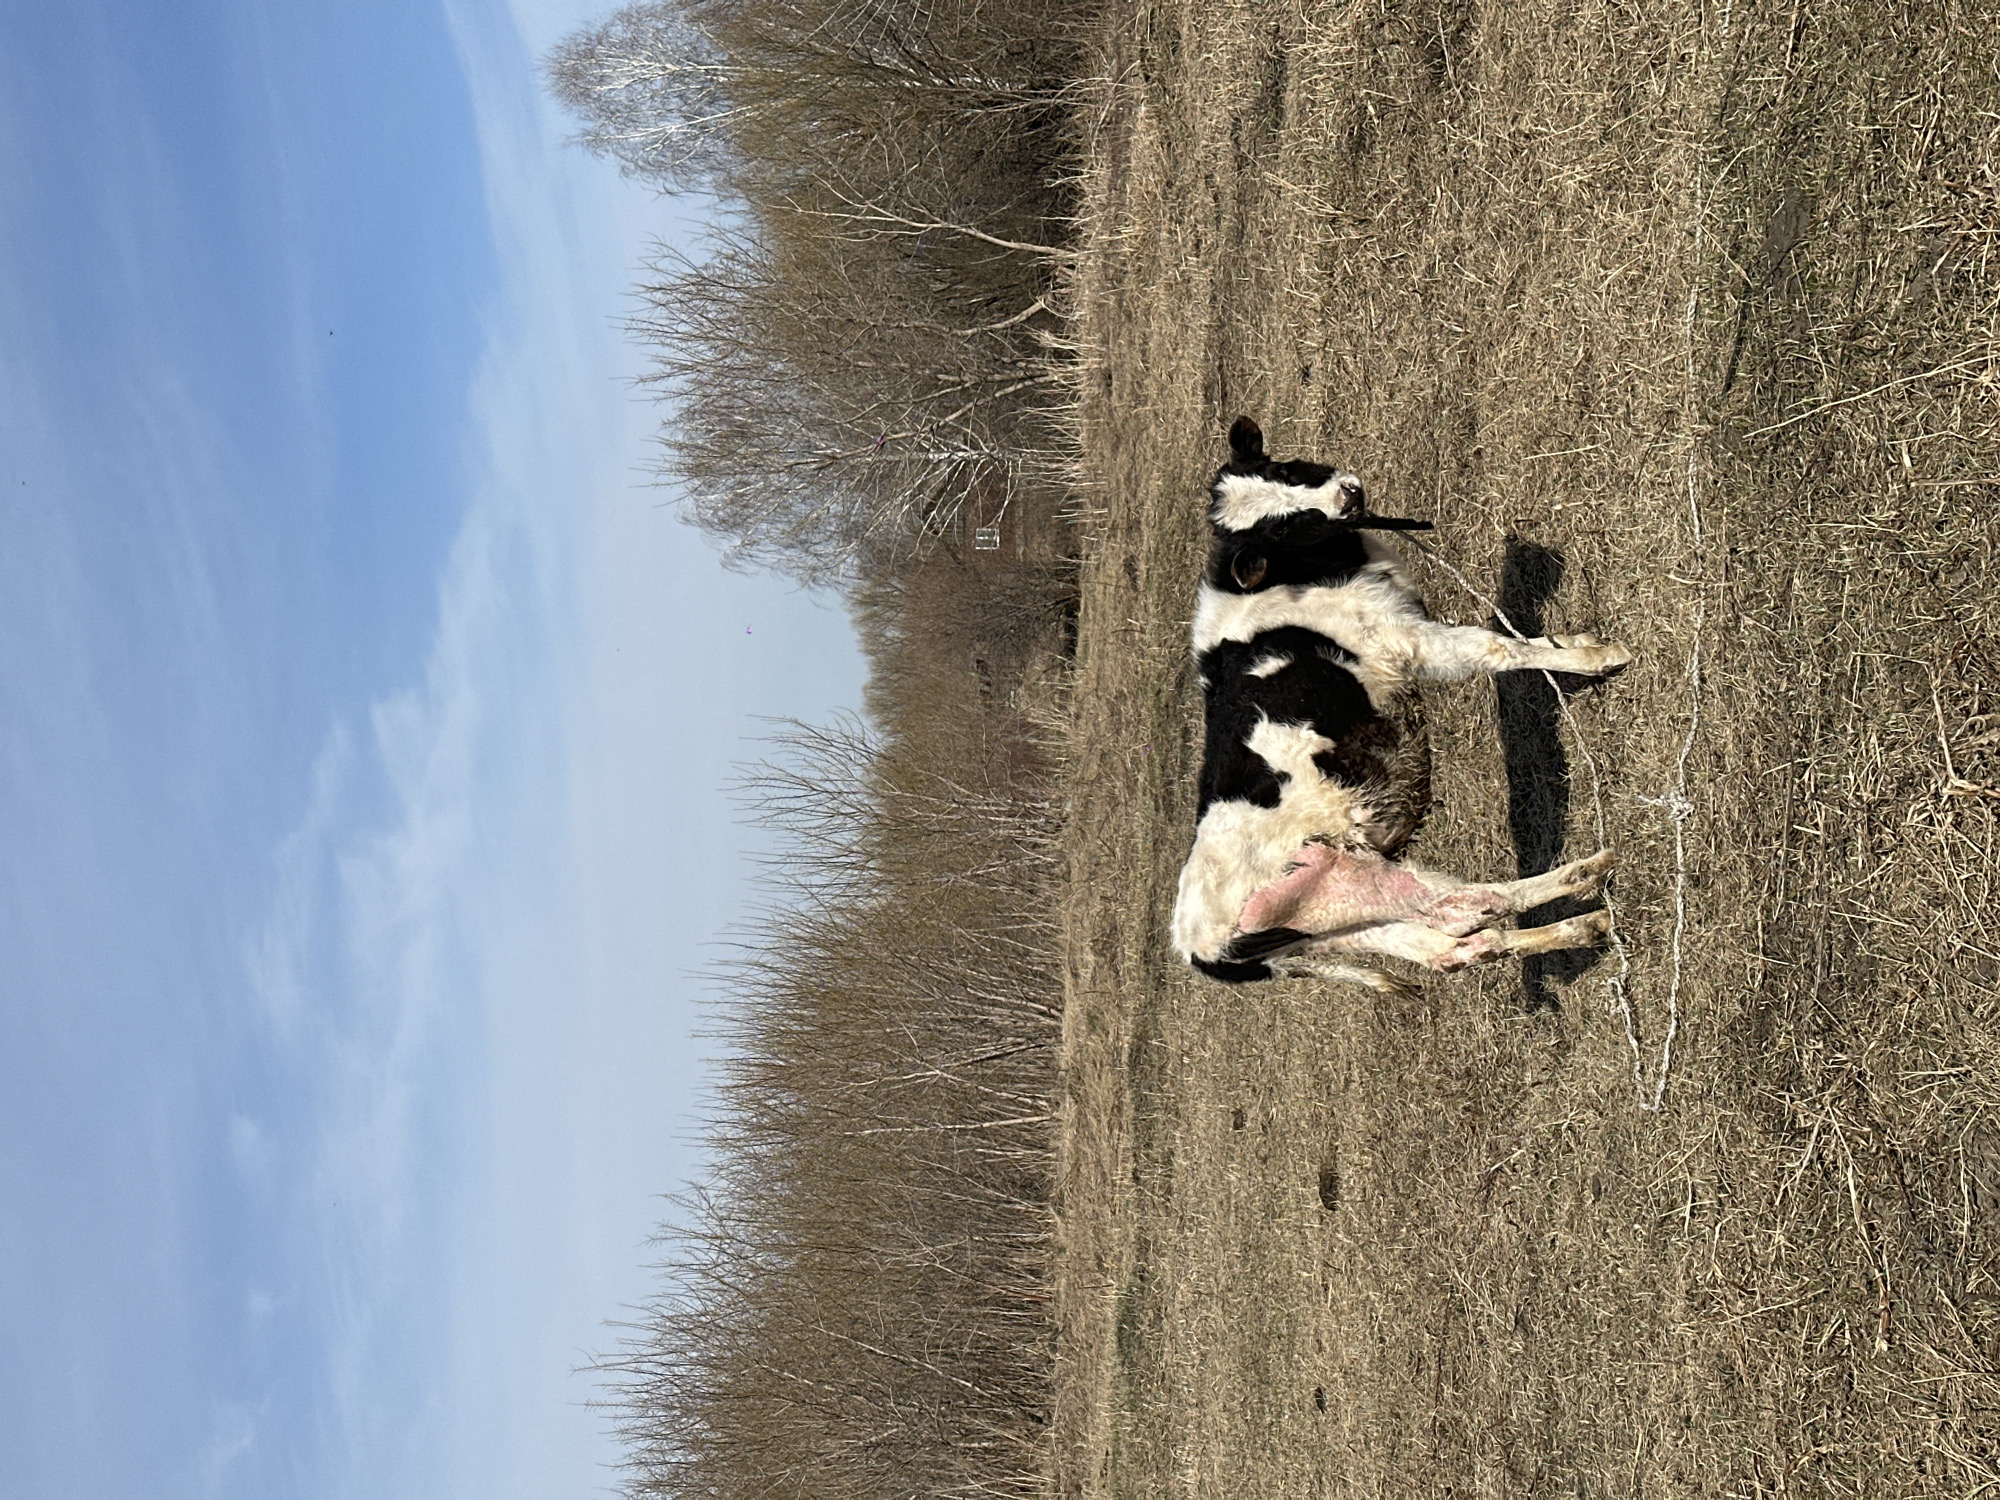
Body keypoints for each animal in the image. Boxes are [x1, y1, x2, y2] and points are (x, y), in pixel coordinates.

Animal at [1170, 417, 1632, 988]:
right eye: (1279, 529)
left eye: (1282, 471)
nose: (1347, 494)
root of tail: (1198, 949)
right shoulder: (1406, 641)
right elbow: (1498, 647)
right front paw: (1600, 657)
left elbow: (1526, 641)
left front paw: (1572, 645)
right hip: (1343, 876)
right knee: (1470, 904)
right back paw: (1591, 874)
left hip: (1338, 928)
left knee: (1456, 946)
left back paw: (1581, 928)